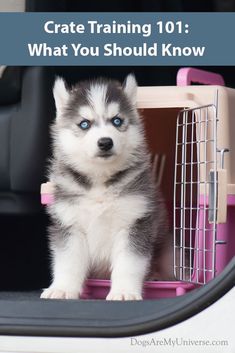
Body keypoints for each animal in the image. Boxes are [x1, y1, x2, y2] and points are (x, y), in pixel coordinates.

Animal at [40, 74, 169, 300]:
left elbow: (129, 263)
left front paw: (124, 291)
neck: (99, 182)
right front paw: (62, 288)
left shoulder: (134, 222)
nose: (105, 142)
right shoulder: (68, 223)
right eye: (84, 124)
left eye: (117, 121)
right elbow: (68, 261)